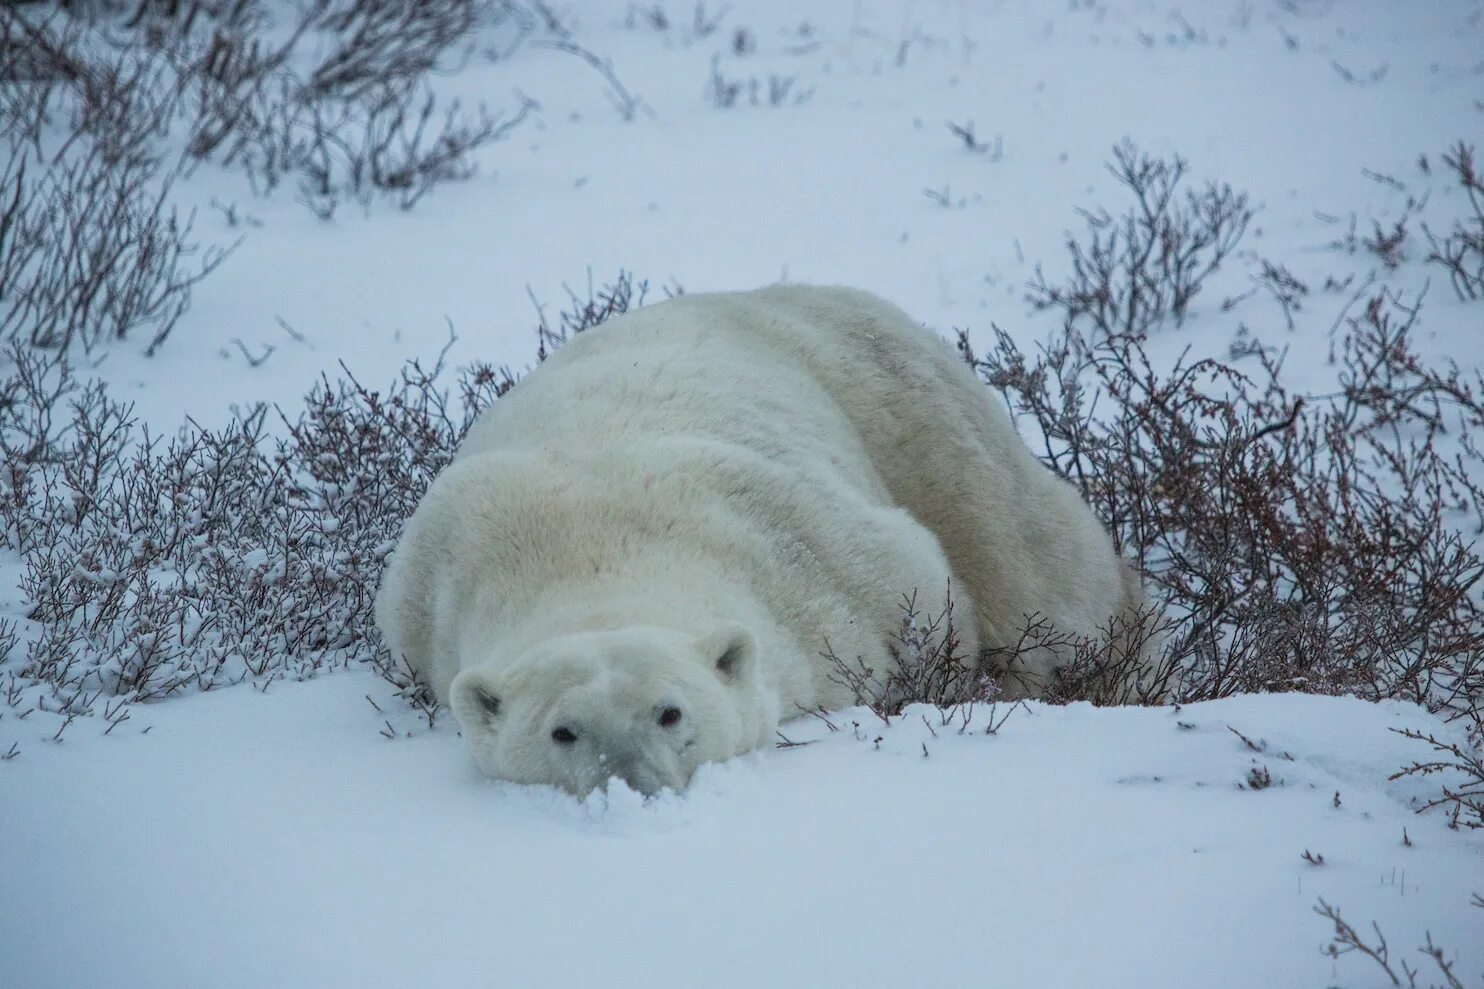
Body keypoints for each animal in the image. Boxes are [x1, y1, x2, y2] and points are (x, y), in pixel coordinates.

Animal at [371, 285, 1145, 795]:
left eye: (670, 711)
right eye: (563, 731)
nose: (631, 781)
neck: (589, 556)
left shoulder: (826, 560)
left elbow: (922, 594)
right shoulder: (422, 603)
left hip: (914, 414)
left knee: (1033, 566)